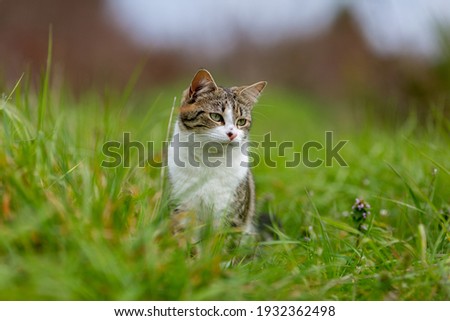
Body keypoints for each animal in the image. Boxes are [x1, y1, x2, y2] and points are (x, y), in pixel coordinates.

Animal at [169, 68, 268, 242]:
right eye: (215, 116)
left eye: (241, 121)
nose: (232, 134)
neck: (210, 161)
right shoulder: (182, 207)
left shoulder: (231, 215)